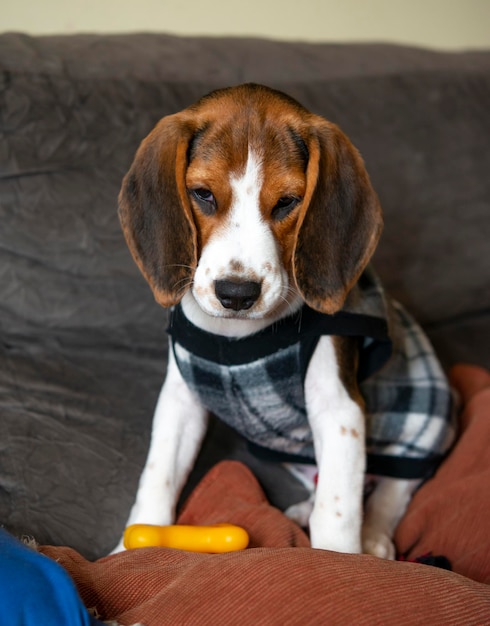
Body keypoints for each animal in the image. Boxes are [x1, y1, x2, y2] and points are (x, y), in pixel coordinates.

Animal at [116, 83, 456, 556]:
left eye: (287, 203)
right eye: (203, 194)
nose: (236, 293)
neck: (235, 339)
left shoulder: (339, 410)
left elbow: (337, 511)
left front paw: (341, 561)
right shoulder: (180, 401)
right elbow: (158, 475)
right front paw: (130, 547)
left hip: (424, 426)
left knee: (391, 489)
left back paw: (374, 538)